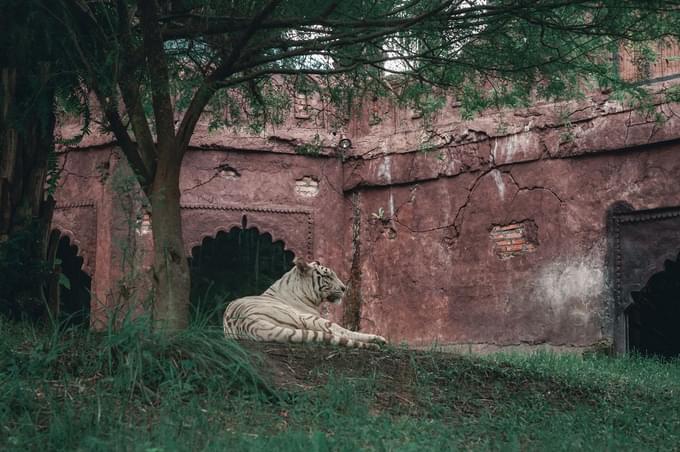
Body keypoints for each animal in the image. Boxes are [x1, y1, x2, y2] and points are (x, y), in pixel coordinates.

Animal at [220, 258, 386, 350]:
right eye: (327, 276)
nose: (344, 288)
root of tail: (248, 324)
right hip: (308, 319)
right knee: (341, 331)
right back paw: (378, 340)